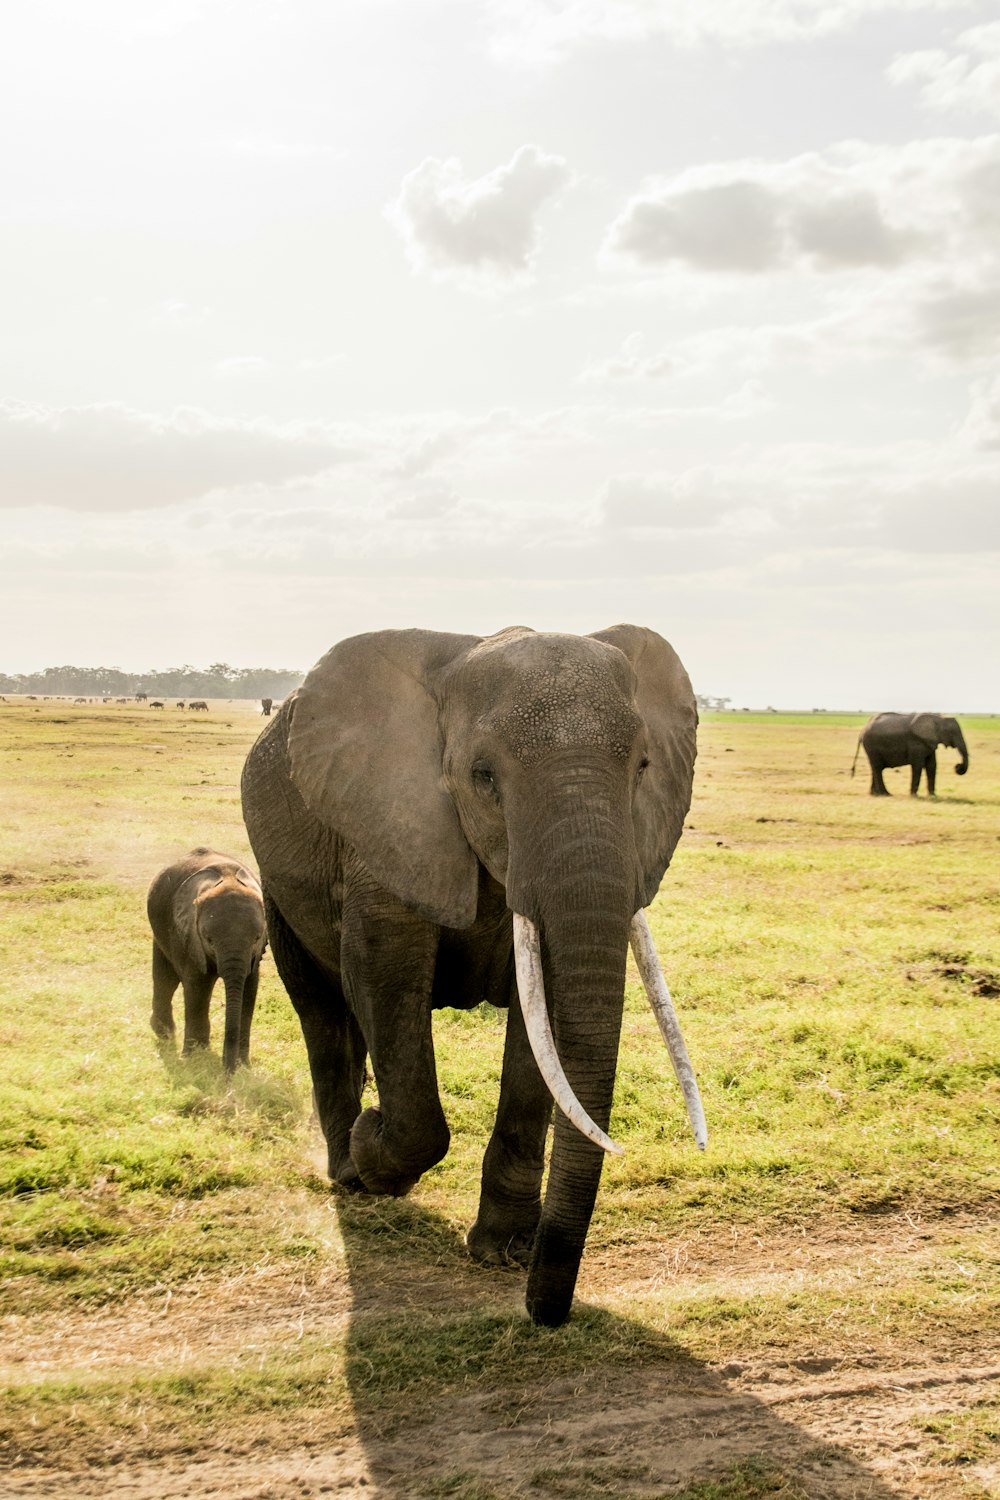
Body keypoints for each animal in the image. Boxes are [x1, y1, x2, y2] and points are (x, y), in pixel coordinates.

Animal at [146, 852, 268, 1074]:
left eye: (256, 938)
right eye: (209, 939)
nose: (227, 1076)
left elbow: (249, 990)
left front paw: (243, 1066)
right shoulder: (189, 937)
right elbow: (197, 987)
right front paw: (194, 1059)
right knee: (165, 980)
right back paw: (165, 1035)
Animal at [241, 627, 704, 1332]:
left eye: (644, 768)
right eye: (483, 778)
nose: (544, 1315)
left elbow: (541, 1030)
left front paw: (506, 1252)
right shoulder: (387, 823)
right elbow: (383, 969)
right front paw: (376, 1150)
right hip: (278, 885)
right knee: (320, 1010)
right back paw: (348, 1170)